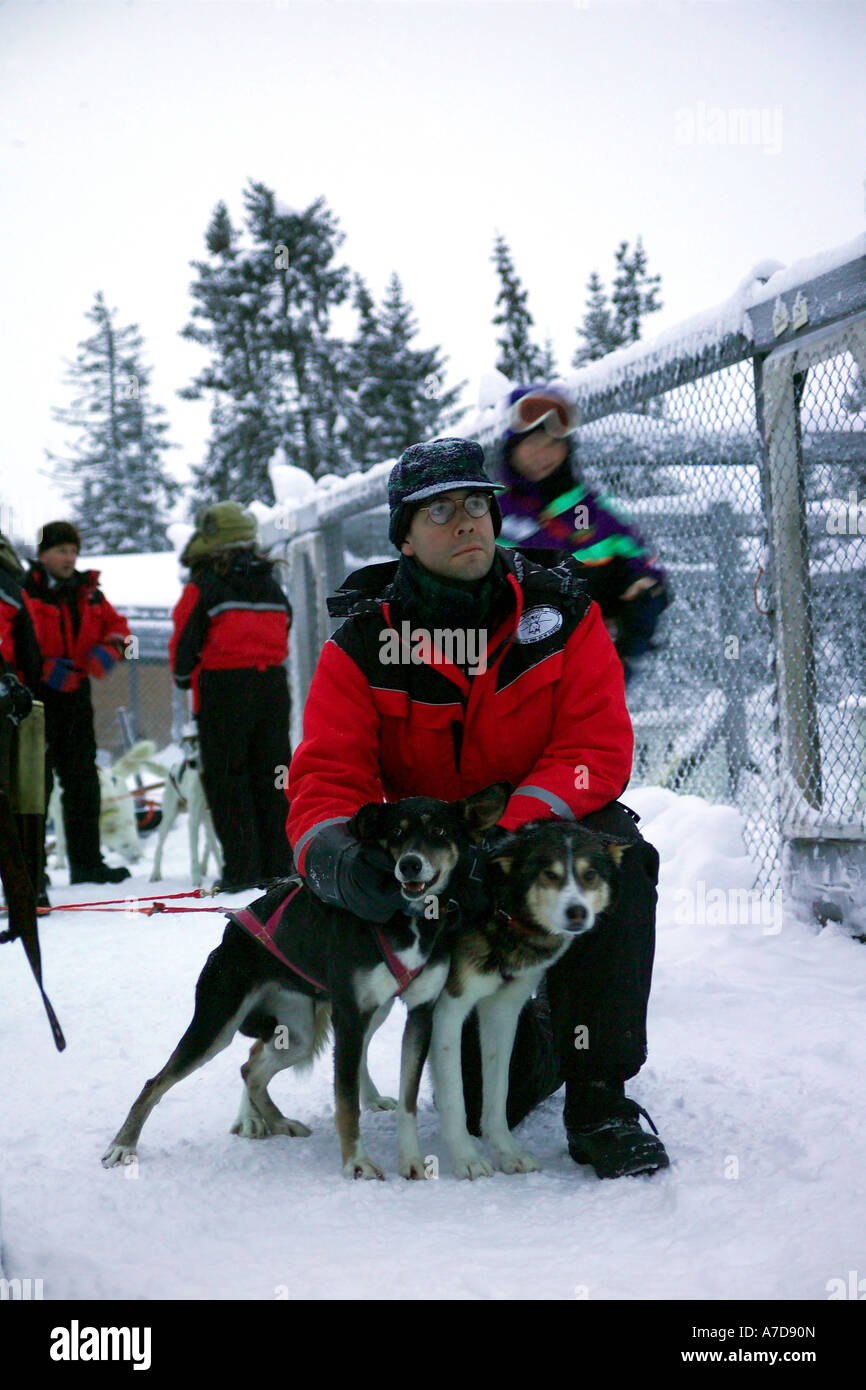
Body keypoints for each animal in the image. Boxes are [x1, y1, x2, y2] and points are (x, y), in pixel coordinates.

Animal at [103, 789, 508, 1178]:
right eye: (396, 832)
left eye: (439, 830)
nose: (409, 863)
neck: (406, 920)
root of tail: (233, 928)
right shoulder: (350, 1017)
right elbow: (347, 1103)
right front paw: (356, 1163)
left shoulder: (421, 1014)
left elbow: (408, 1100)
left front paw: (411, 1162)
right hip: (216, 1028)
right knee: (156, 1082)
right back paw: (123, 1145)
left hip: (298, 1035)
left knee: (251, 1070)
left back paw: (279, 1121)